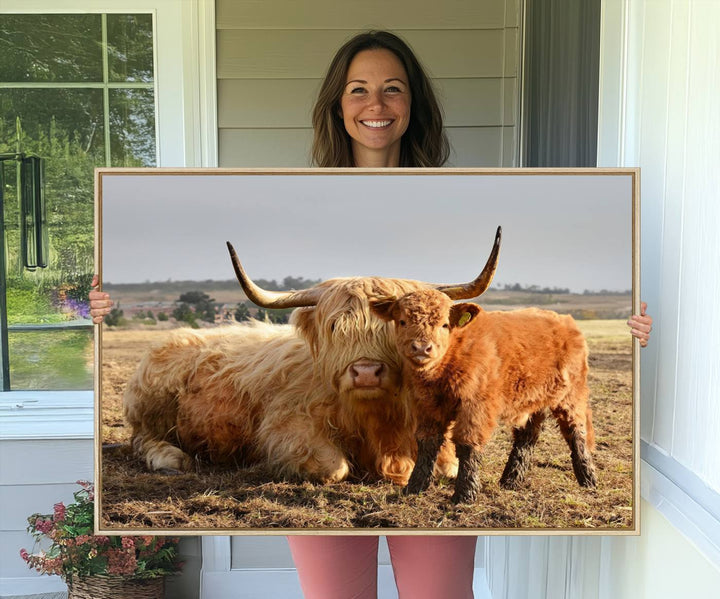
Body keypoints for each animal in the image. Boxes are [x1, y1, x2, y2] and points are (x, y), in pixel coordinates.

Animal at [372, 288, 596, 504]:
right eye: (402, 321)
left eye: (444, 324)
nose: (421, 348)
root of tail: (566, 320)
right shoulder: (427, 405)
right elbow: (428, 442)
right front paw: (414, 488)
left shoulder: (475, 406)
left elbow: (467, 444)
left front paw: (465, 494)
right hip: (532, 400)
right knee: (527, 436)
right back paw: (511, 480)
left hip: (571, 396)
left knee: (576, 431)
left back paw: (588, 479)